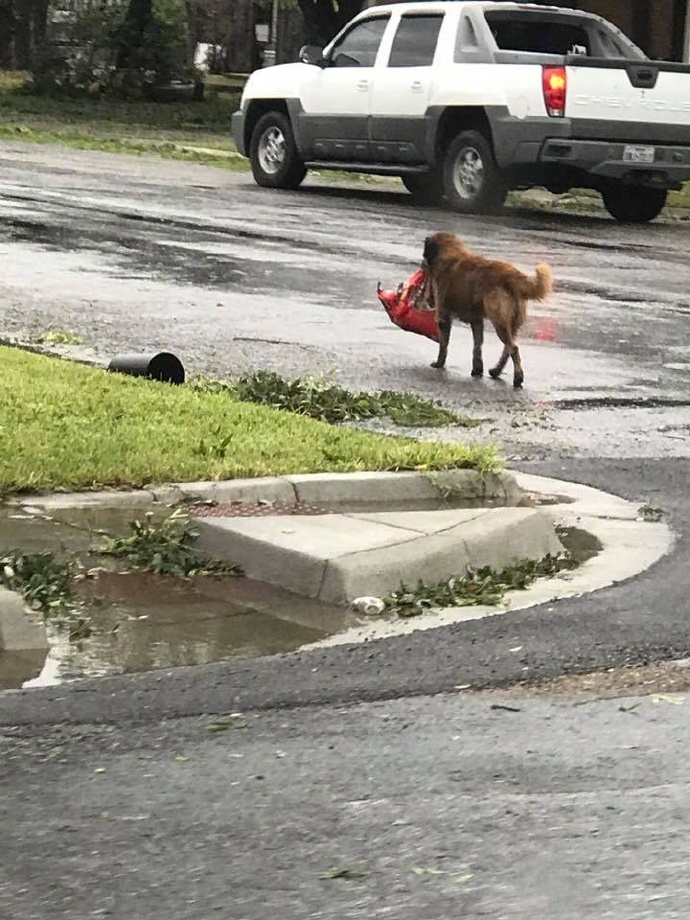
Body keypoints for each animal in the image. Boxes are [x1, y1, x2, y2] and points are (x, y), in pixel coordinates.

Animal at [422, 234, 552, 388]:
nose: (422, 263)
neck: (451, 255)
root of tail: (511, 275)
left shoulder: (444, 316)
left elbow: (444, 344)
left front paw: (439, 363)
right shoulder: (477, 321)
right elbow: (477, 346)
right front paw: (477, 370)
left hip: (499, 321)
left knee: (513, 348)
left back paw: (517, 378)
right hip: (511, 324)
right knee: (508, 349)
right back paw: (496, 371)